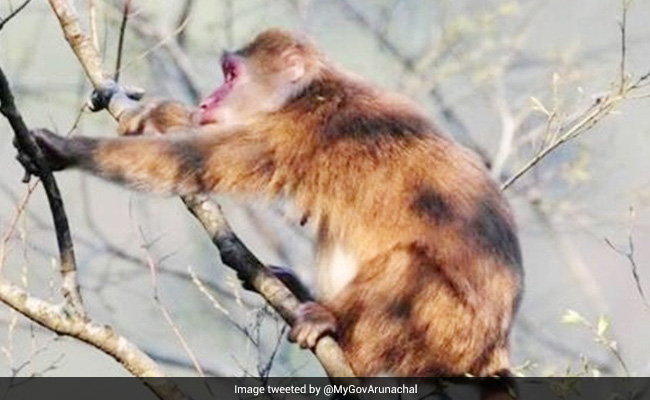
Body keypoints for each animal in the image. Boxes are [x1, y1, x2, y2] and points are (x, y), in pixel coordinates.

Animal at [17, 29, 523, 377]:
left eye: (231, 76)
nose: (208, 99)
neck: (307, 92)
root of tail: (495, 349)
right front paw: (156, 113)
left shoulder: (292, 131)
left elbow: (195, 160)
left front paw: (69, 150)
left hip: (446, 333)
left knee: (410, 265)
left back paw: (333, 322)